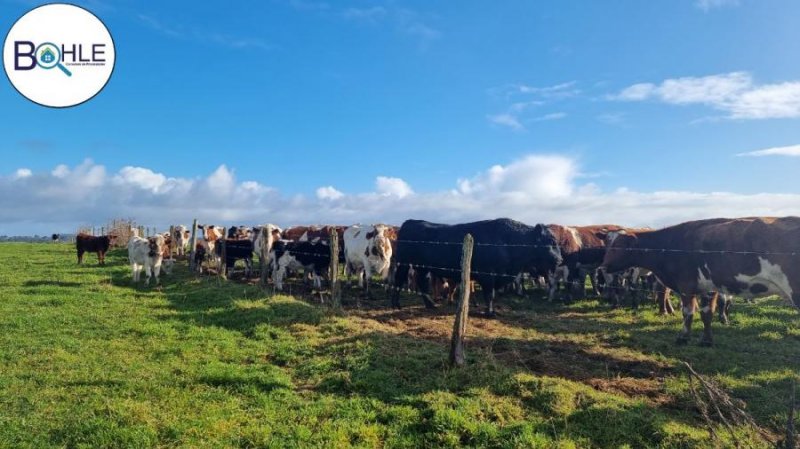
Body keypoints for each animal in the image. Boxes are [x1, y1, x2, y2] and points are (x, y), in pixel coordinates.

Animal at [600, 215, 800, 344]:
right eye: (607, 244)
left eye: (619, 246)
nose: (602, 267)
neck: (669, 245)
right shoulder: (707, 287)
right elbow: (706, 313)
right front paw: (706, 339)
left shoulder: (686, 285)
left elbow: (688, 312)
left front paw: (683, 337)